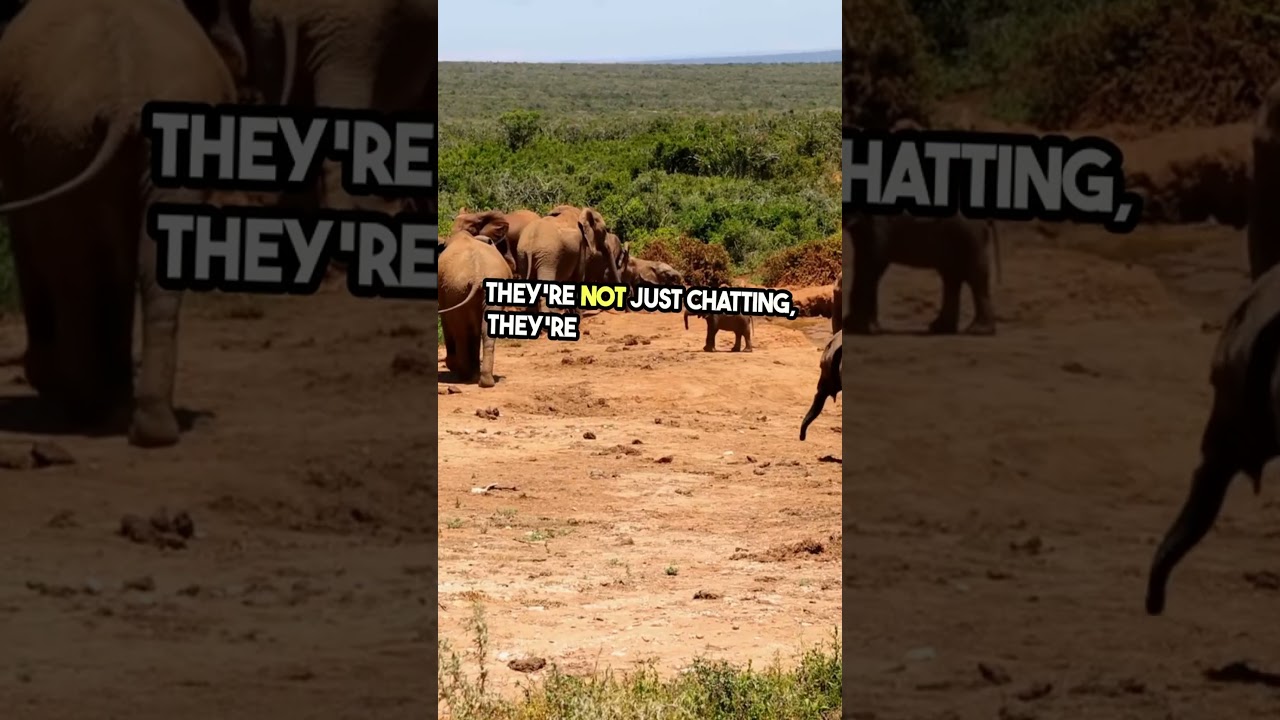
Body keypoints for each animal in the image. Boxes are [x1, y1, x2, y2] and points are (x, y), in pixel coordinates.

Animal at [0, 0, 244, 447]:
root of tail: (125, 98)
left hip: (56, 136)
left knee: (70, 269)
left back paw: (83, 408)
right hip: (68, 136)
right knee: (143, 268)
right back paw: (150, 428)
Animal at [438, 228, 514, 388]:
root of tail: (477, 275)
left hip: (455, 288)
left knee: (460, 330)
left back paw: (464, 375)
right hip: (461, 289)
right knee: (485, 330)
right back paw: (485, 382)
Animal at [846, 213, 1001, 336]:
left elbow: (873, 258)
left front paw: (857, 328)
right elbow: (867, 260)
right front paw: (860, 327)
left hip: (968, 231)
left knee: (973, 276)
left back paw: (978, 331)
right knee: (951, 276)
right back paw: (940, 329)